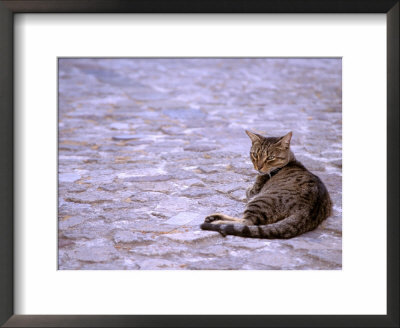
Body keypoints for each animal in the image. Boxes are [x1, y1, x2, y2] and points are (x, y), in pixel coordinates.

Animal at [202, 130, 332, 238]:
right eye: (255, 154)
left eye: (270, 157)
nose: (258, 167)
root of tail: (306, 211)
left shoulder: (254, 192)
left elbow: (248, 191)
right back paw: (213, 217)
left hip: (259, 201)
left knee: (247, 223)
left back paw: (216, 221)